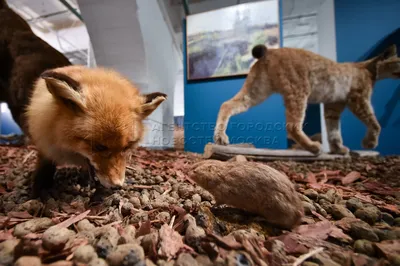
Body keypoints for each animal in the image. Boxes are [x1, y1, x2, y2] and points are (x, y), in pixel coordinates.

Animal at [25, 65, 166, 196]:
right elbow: (44, 163)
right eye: (99, 147)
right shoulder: (45, 142)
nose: (117, 185)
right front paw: (38, 189)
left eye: (127, 147)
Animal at [216, 44, 400, 155]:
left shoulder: (333, 105)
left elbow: (333, 129)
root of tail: (271, 50)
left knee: (227, 104)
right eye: (399, 60)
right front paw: (370, 143)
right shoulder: (359, 99)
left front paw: (338, 148)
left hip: (257, 90)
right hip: (299, 90)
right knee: (292, 125)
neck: (372, 69)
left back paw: (220, 137)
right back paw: (312, 146)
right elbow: (374, 122)